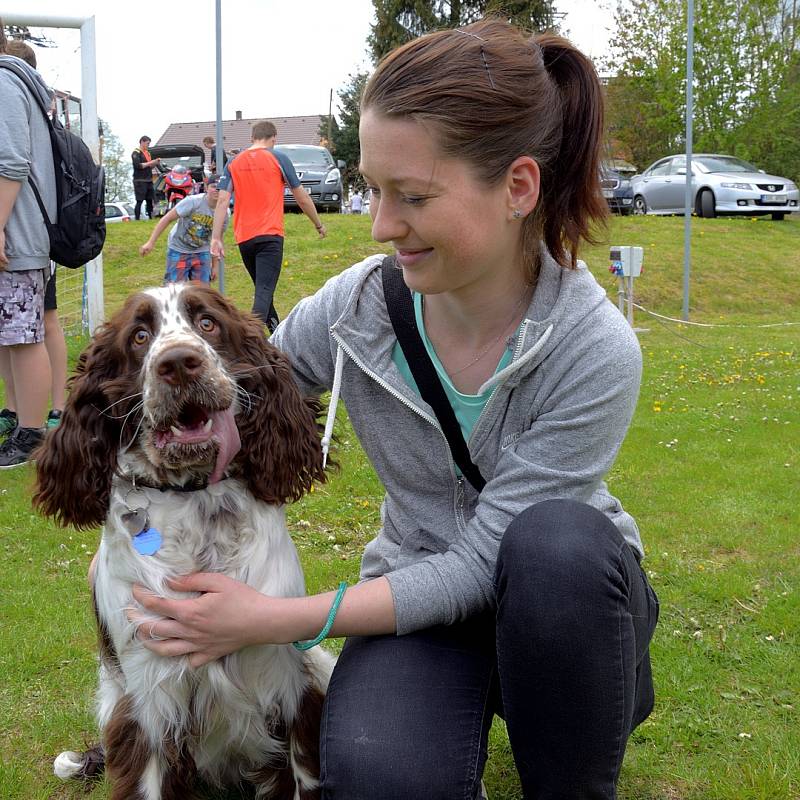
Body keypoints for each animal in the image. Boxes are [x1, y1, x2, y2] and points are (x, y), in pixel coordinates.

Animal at [34, 286, 332, 800]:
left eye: (208, 323)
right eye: (139, 336)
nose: (177, 363)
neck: (194, 497)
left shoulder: (290, 686)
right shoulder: (148, 707)